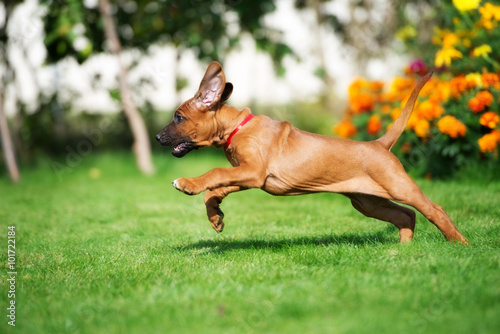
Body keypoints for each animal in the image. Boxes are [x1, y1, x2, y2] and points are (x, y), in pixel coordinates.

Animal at [155, 61, 468, 244]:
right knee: (406, 215)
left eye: (178, 117)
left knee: (433, 209)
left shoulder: (253, 172)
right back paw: (402, 250)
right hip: (367, 201)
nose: (158, 137)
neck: (237, 128)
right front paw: (215, 215)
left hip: (398, 186)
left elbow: (215, 173)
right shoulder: (247, 175)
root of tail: (379, 144)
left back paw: (459, 243)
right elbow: (215, 187)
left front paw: (188, 184)